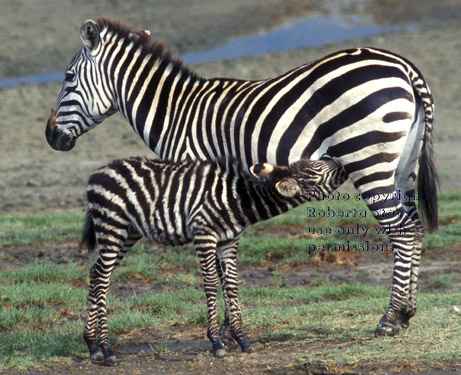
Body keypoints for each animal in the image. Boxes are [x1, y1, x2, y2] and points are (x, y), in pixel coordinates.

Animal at [46, 16, 438, 338]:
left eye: (67, 78)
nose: (50, 137)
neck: (176, 114)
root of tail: (402, 65)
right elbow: (224, 263)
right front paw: (230, 329)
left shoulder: (196, 185)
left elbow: (217, 267)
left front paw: (222, 331)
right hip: (403, 164)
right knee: (415, 227)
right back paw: (408, 313)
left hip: (368, 156)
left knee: (401, 231)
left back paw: (392, 317)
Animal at [80, 156, 344, 368]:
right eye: (312, 172)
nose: (338, 161)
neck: (238, 199)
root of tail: (96, 173)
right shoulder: (204, 234)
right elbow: (210, 284)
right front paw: (216, 342)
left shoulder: (229, 241)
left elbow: (231, 286)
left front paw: (242, 339)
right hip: (112, 225)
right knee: (102, 279)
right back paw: (106, 349)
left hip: (128, 231)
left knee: (97, 273)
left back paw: (92, 345)